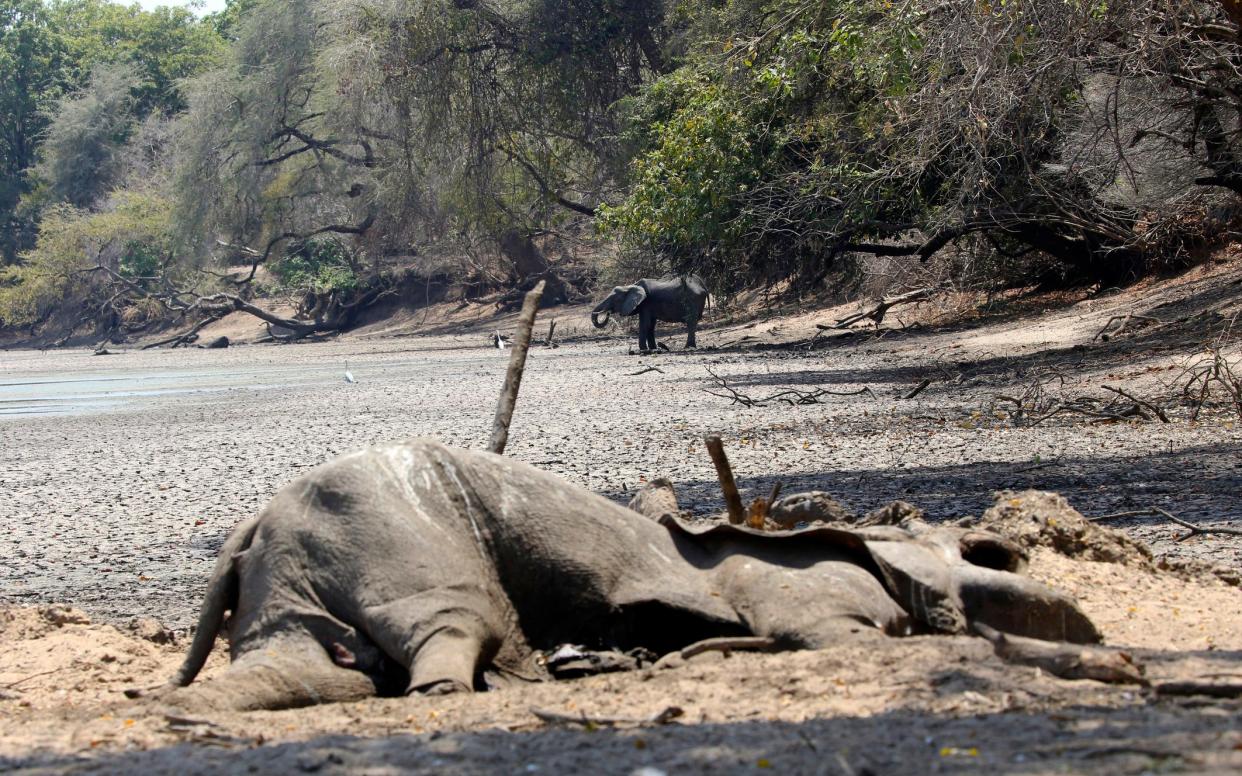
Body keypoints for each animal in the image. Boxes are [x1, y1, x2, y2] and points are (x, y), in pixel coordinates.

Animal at [152, 437, 1097, 710]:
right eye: (981, 550)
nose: (1012, 548)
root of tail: (254, 524)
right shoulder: (807, 598)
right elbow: (848, 637)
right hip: (409, 539)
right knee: (452, 632)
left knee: (317, 669)